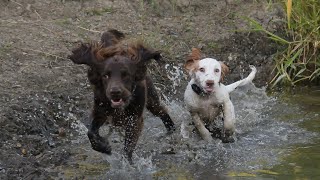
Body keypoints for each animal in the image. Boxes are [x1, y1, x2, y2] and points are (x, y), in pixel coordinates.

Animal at [68, 29, 176, 163]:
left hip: (151, 100)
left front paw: (127, 163)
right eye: (105, 75)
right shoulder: (100, 111)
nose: (115, 92)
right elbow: (91, 132)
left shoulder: (134, 118)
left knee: (162, 112)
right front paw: (104, 147)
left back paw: (171, 131)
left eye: (126, 75)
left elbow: (128, 147)